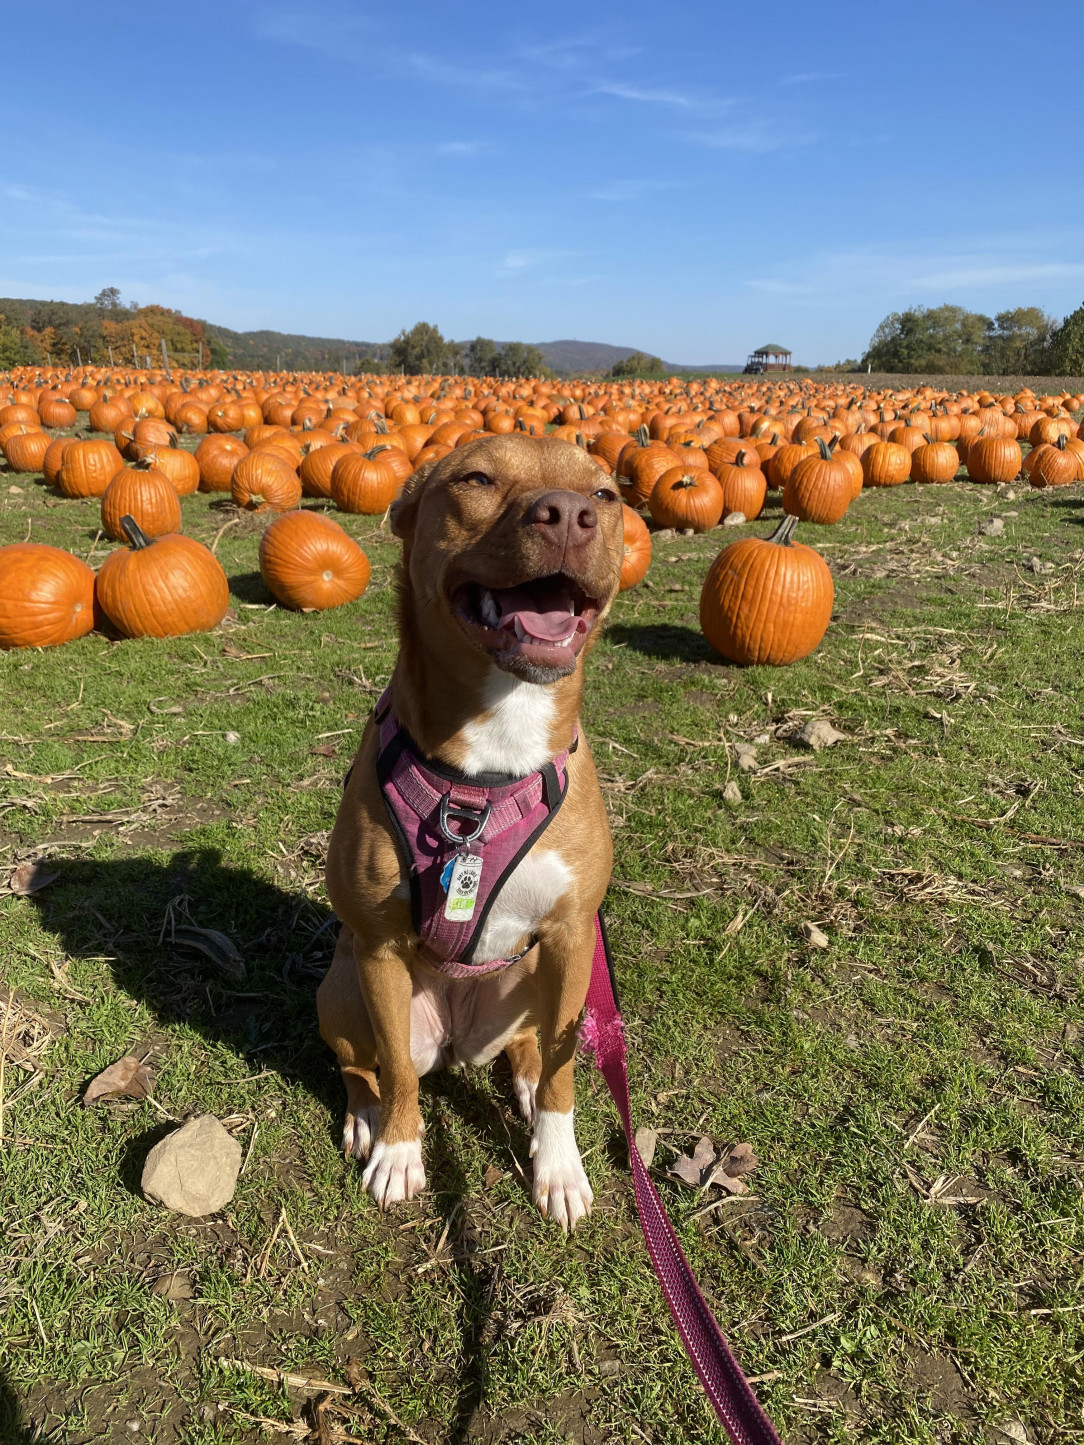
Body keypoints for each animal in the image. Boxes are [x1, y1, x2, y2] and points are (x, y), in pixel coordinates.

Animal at [317, 430, 624, 1231]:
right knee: (363, 1063)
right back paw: (365, 1117)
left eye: (606, 494)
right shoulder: (380, 948)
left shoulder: (573, 934)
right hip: (343, 984)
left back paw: (523, 1085)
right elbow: (397, 1071)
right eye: (477, 479)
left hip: (533, 979)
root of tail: (458, 1041)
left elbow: (563, 1073)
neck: (498, 747)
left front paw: (558, 1163)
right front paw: (399, 1151)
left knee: (533, 1047)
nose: (570, 513)